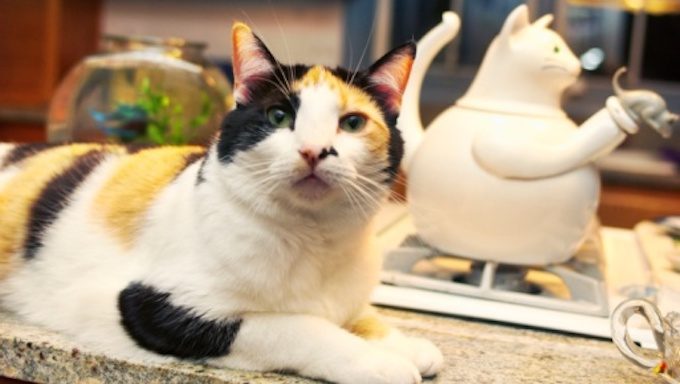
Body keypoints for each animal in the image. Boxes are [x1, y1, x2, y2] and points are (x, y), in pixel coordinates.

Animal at [0, 21, 440, 384]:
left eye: (352, 123)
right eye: (278, 117)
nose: (314, 150)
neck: (314, 240)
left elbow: (359, 314)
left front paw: (402, 343)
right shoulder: (154, 306)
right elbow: (297, 326)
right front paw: (377, 362)